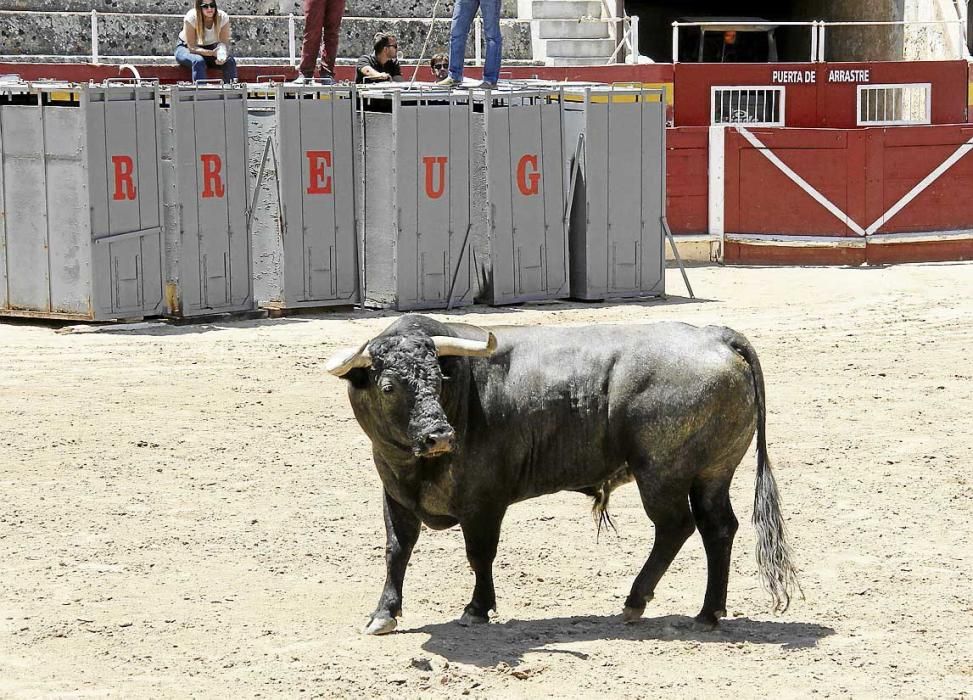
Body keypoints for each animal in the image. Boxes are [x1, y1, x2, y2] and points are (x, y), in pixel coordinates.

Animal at [326, 314, 796, 636]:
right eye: (388, 386)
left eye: (438, 377)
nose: (439, 435)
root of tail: (715, 334)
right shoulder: (395, 495)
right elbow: (396, 550)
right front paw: (382, 614)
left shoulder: (484, 502)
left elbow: (479, 554)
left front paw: (477, 609)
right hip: (713, 473)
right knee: (718, 528)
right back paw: (707, 613)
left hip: (663, 474)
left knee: (676, 527)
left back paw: (637, 601)